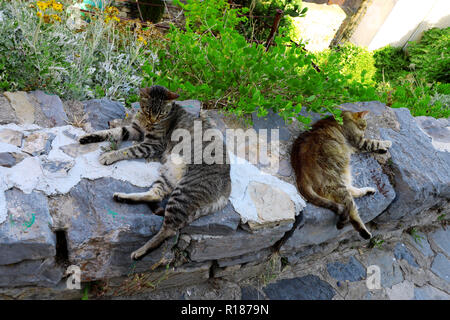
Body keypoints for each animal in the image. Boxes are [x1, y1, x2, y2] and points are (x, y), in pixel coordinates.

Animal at [78, 84, 232, 260]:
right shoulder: (134, 129)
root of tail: (227, 190)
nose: (152, 120)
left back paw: (139, 252)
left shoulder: (153, 144)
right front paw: (89, 137)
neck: (147, 121)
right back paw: (123, 197)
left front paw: (109, 155)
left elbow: (128, 150)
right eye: (147, 110)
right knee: (156, 195)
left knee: (169, 230)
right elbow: (113, 131)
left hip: (184, 192)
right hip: (169, 175)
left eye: (160, 114)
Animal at [290, 111, 392, 239]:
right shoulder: (358, 142)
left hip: (342, 177)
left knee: (352, 192)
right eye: (363, 126)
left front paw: (383, 149)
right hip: (337, 184)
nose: (364, 131)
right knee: (351, 210)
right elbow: (373, 142)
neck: (344, 115)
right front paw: (386, 143)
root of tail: (300, 174)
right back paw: (364, 233)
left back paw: (369, 191)